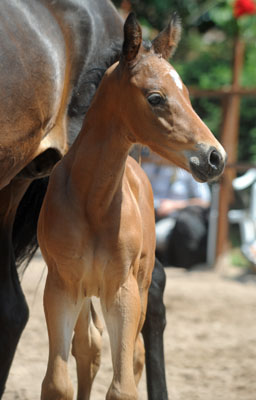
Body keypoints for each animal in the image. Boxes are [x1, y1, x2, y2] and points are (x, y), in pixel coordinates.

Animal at [38, 14, 226, 400]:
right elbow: (58, 382)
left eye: (187, 95)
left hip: (139, 285)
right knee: (89, 348)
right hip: (85, 292)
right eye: (155, 97)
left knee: (134, 354)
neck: (93, 202)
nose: (215, 157)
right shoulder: (61, 286)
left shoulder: (122, 292)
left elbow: (123, 385)